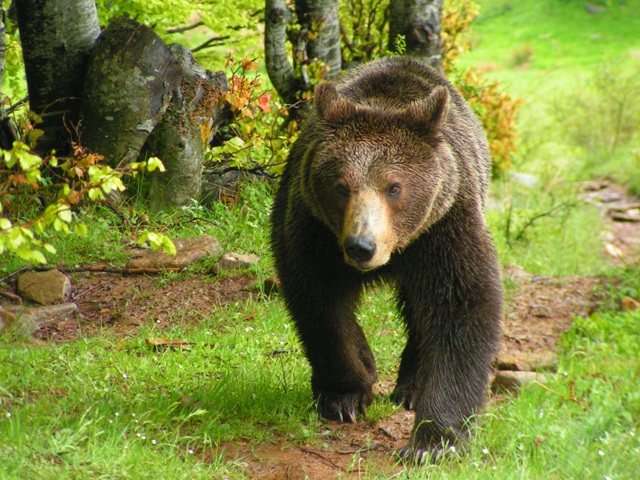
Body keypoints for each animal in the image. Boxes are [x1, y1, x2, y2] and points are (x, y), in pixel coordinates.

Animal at [268, 55, 502, 462]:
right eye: (341, 186)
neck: (396, 249)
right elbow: (320, 305)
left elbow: (461, 307)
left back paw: (410, 385)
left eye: (394, 187)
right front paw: (345, 395)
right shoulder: (314, 231)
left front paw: (433, 441)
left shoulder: (442, 229)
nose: (361, 246)